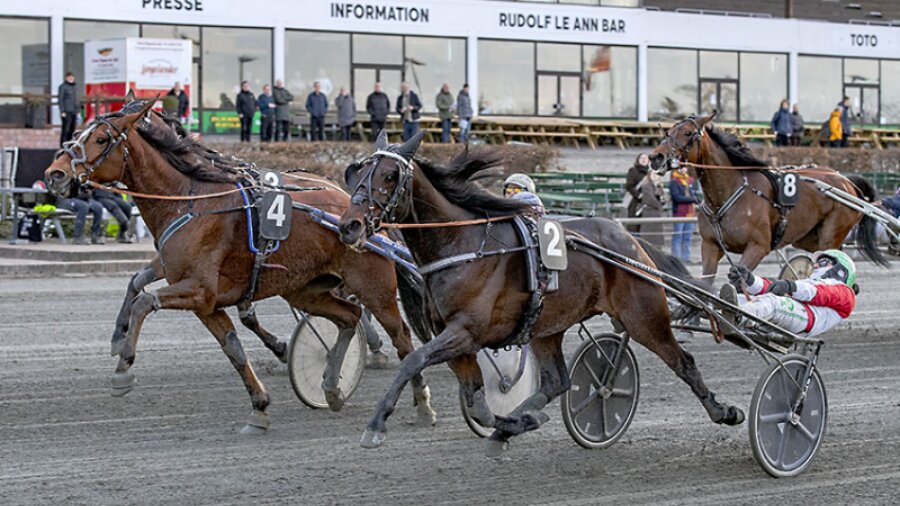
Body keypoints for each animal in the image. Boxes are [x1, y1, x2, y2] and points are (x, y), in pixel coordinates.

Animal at [44, 99, 436, 434]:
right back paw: (331, 387)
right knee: (348, 317)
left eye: (100, 138)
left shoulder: (199, 290)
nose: (55, 174)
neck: (190, 198)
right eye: (77, 131)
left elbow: (144, 301)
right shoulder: (205, 301)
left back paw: (421, 404)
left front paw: (123, 368)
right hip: (306, 289)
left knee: (401, 335)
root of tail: (364, 214)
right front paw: (259, 408)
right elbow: (231, 347)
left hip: (373, 287)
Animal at [337, 131, 744, 455]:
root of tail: (630, 241)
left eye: (390, 175)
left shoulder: (465, 333)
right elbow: (477, 402)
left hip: (643, 316)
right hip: (547, 327)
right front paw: (514, 423)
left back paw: (725, 411)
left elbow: (412, 361)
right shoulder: (458, 341)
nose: (350, 225)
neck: (463, 244)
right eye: (356, 172)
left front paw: (376, 425)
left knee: (683, 362)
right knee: (557, 381)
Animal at [649, 114, 887, 285]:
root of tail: (846, 181)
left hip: (832, 232)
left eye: (688, 133)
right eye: (668, 132)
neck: (727, 194)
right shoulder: (710, 246)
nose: (655, 157)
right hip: (807, 237)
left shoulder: (758, 246)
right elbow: (706, 285)